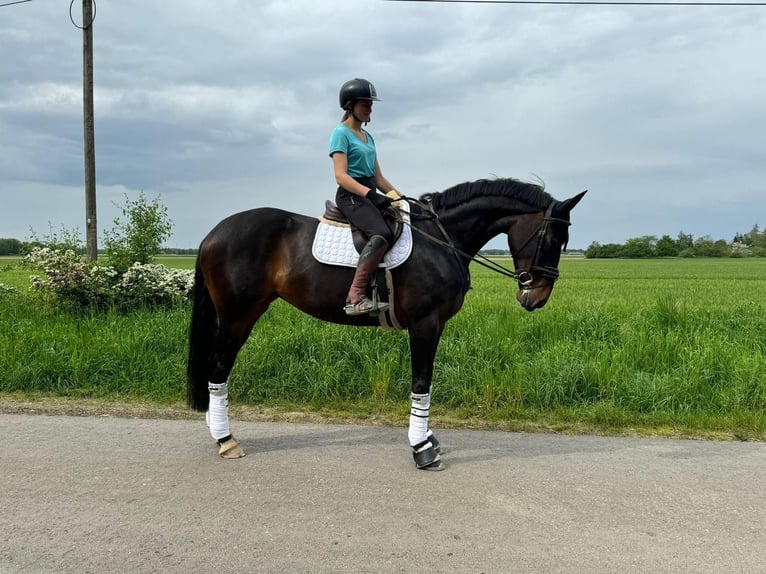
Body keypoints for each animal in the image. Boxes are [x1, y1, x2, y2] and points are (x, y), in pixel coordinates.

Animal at [186, 179, 588, 472]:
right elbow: (421, 383)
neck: (442, 239)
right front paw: (422, 449)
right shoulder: (425, 324)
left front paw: (427, 439)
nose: (537, 298)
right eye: (554, 238)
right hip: (239, 316)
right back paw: (226, 440)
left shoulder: (435, 326)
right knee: (218, 368)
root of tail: (213, 234)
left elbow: (427, 383)